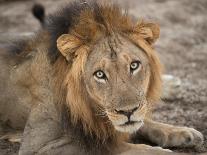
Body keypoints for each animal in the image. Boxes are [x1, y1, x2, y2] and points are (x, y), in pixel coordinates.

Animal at [0, 0, 204, 154]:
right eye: (100, 74)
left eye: (134, 65)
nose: (128, 112)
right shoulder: (39, 146)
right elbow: (115, 147)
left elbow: (143, 122)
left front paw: (183, 132)